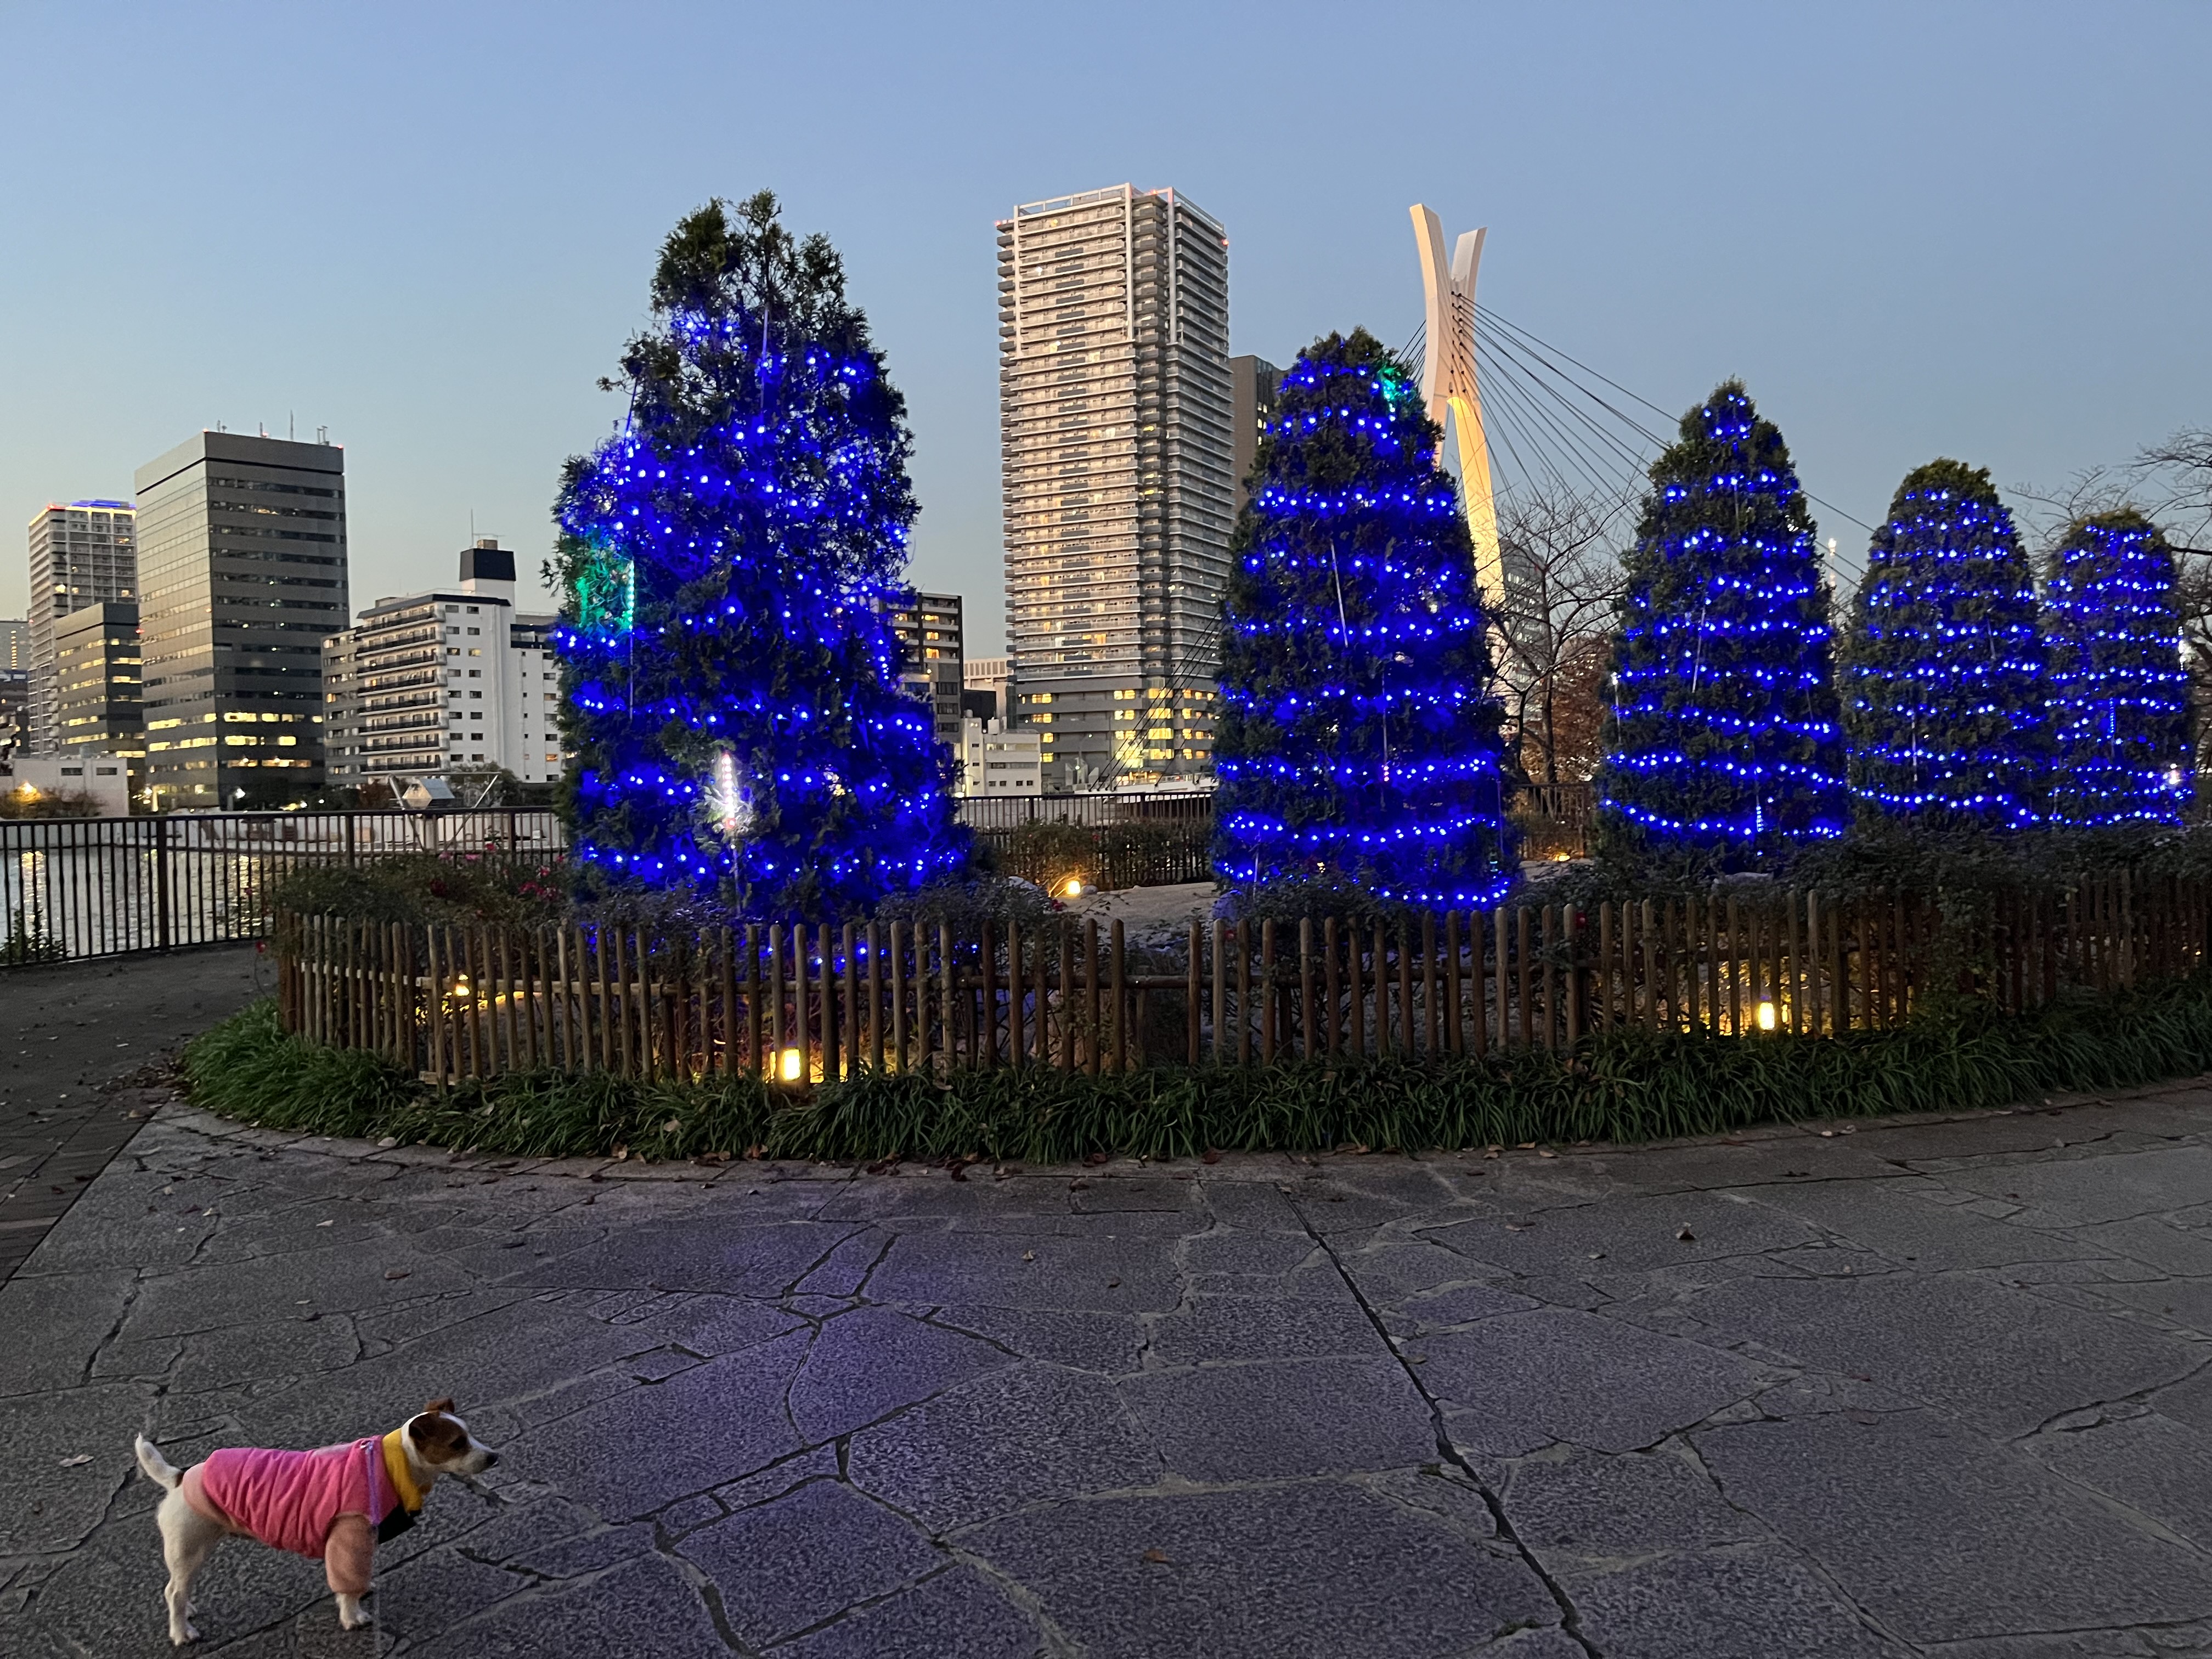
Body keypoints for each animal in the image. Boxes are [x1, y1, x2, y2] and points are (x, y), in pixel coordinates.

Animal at [136, 1407, 504, 1654]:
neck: (389, 1465)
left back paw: (188, 1613)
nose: (495, 1456)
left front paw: (362, 1591)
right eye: (457, 1443)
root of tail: (179, 1477)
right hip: (191, 1548)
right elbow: (347, 1586)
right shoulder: (348, 1537)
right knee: (173, 1591)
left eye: (470, 1435)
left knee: (179, 1588)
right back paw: (182, 1632)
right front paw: (353, 1616)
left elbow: (356, 1578)